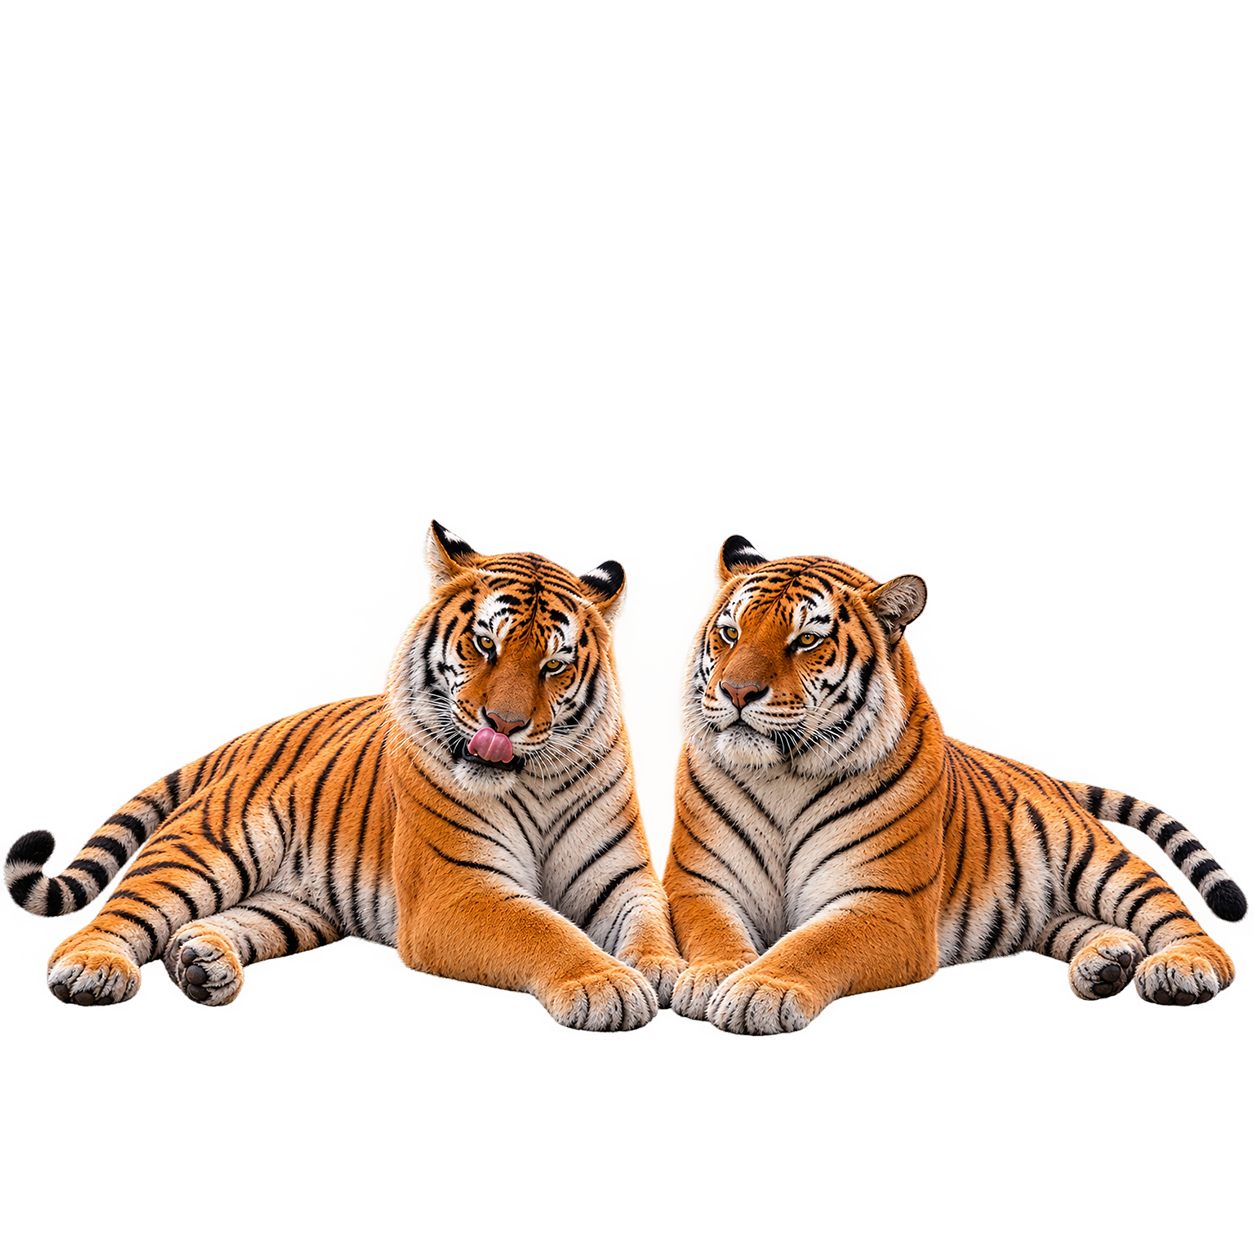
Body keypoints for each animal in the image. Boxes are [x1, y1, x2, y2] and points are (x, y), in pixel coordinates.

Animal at [4, 521, 686, 1031]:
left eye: (555, 665)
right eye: (484, 645)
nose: (505, 724)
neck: (534, 782)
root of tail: (244, 740)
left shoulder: (621, 876)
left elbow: (651, 921)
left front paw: (667, 971)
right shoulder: (459, 890)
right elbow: (543, 930)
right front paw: (606, 983)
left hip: (295, 905)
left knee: (225, 921)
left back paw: (203, 962)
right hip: (207, 847)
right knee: (123, 914)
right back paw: (92, 969)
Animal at [663, 536, 1246, 1035]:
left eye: (806, 640)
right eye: (731, 633)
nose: (737, 691)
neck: (783, 774)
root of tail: (1044, 775)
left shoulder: (885, 901)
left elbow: (813, 945)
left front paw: (758, 988)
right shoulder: (699, 882)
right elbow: (714, 933)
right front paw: (712, 977)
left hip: (1100, 862)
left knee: (1173, 915)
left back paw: (1183, 969)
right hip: (1048, 914)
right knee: (1086, 925)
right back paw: (1107, 964)